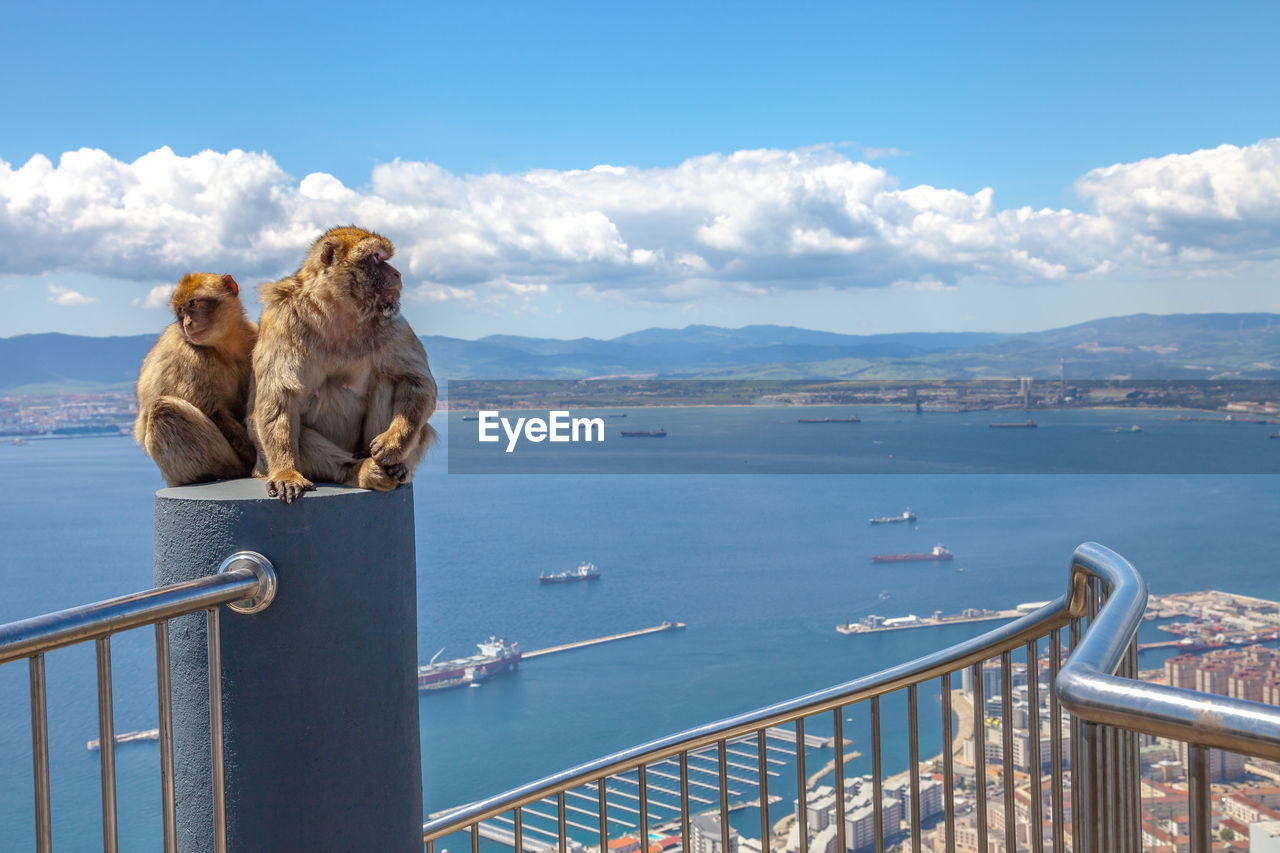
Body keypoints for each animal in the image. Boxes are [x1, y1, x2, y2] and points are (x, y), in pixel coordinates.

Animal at [134, 272, 257, 484]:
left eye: (193, 304)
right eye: (181, 311)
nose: (187, 324)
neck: (224, 345)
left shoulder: (252, 337)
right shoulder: (193, 358)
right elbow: (214, 413)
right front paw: (255, 455)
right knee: (164, 409)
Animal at [249, 225, 440, 502]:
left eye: (384, 257)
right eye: (376, 257)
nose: (397, 273)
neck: (336, 311)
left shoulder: (393, 325)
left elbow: (418, 381)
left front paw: (393, 444)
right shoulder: (280, 318)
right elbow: (279, 397)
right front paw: (286, 473)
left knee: (390, 379)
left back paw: (394, 467)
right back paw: (359, 471)